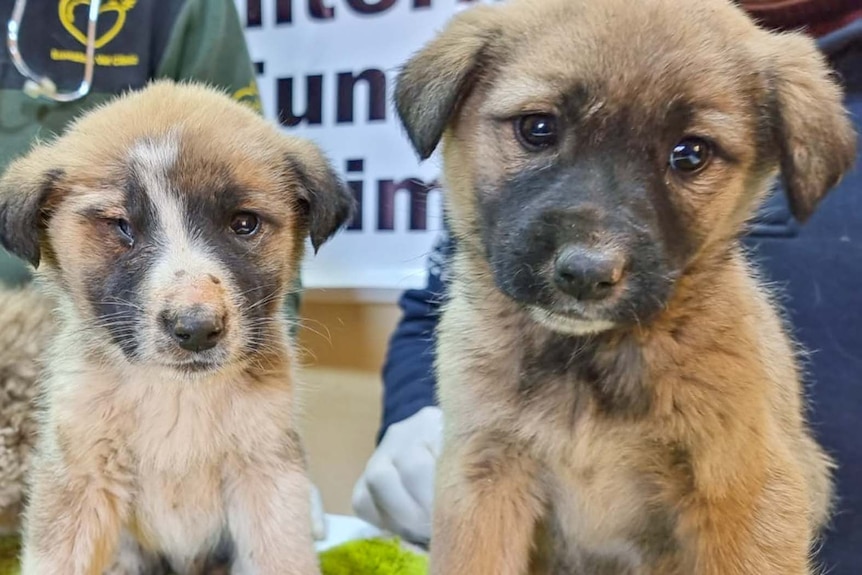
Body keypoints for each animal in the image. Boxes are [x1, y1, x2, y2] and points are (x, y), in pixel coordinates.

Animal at [0, 81, 354, 575]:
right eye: (122, 227)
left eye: (244, 223)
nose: (197, 329)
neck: (177, 395)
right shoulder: (81, 474)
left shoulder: (266, 472)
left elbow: (282, 558)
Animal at [396, 1, 856, 575]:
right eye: (538, 127)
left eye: (691, 153)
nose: (587, 273)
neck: (587, 363)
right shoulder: (483, 474)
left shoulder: (748, 491)